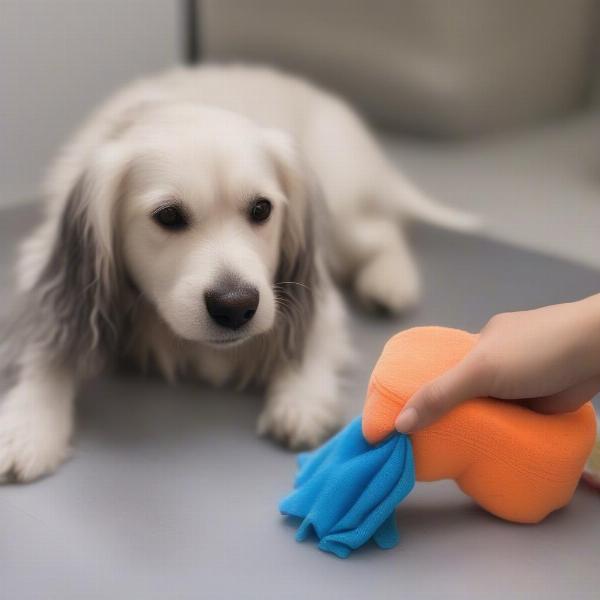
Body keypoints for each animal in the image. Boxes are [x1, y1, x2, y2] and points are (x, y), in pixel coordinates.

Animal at [0, 64, 474, 482]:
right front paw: (28, 424)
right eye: (167, 216)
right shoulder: (49, 273)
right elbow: (47, 350)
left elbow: (311, 336)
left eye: (262, 209)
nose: (235, 307)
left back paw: (390, 282)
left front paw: (301, 397)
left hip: (342, 212)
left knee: (385, 232)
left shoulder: (311, 290)